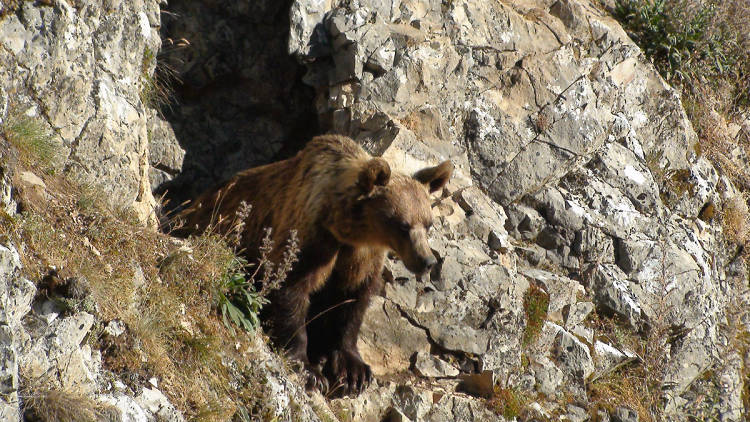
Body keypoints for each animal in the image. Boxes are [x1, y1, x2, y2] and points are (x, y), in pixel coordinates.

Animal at [176, 134, 456, 396]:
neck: (348, 231)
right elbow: (291, 289)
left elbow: (352, 303)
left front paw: (354, 371)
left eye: (428, 223)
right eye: (402, 225)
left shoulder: (361, 257)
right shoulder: (310, 238)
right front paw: (308, 369)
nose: (427, 261)